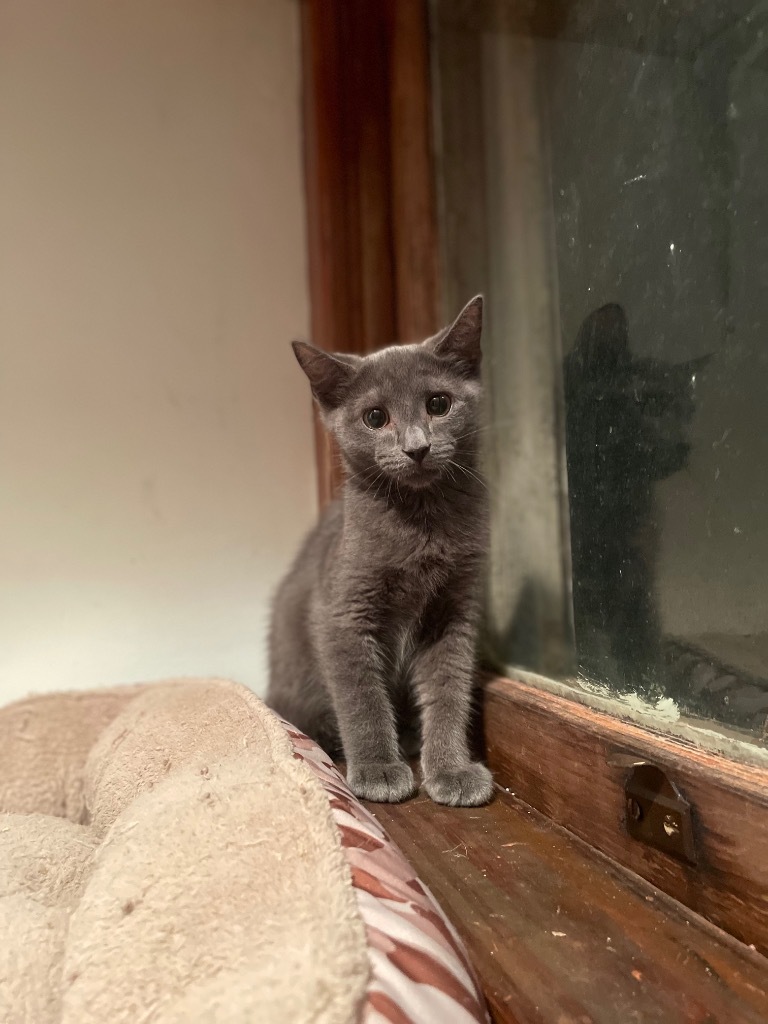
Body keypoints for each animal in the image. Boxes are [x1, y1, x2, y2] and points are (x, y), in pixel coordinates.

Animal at [267, 297, 493, 807]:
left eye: (438, 404)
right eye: (375, 417)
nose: (417, 447)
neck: (422, 524)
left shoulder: (455, 611)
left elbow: (450, 690)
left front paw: (450, 769)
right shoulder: (342, 612)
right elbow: (361, 696)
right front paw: (378, 769)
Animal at [563, 302, 709, 695]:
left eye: (687, 414)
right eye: (648, 405)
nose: (684, 443)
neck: (612, 499)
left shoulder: (638, 573)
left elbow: (643, 640)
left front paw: (652, 689)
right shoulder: (579, 578)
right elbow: (591, 640)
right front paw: (606, 679)